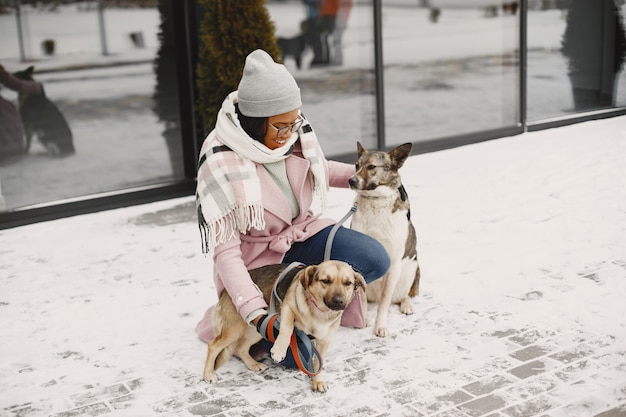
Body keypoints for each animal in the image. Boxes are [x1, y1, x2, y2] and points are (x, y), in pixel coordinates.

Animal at [200, 258, 366, 392]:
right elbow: (287, 328)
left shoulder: (324, 341)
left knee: (241, 347)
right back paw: (208, 374)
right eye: (325, 281)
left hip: (258, 329)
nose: (339, 302)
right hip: (235, 329)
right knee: (213, 345)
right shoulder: (287, 308)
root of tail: (225, 291)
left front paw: (317, 381)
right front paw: (279, 350)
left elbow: (319, 361)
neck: (318, 312)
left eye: (348, 283)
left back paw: (253, 365)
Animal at [346, 141, 420, 336]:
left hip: (411, 270)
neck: (375, 202)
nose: (351, 180)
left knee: (403, 295)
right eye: (356, 165)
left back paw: (406, 305)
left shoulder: (394, 263)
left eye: (372, 167)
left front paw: (381, 325)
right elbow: (363, 297)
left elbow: (385, 303)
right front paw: (364, 319)